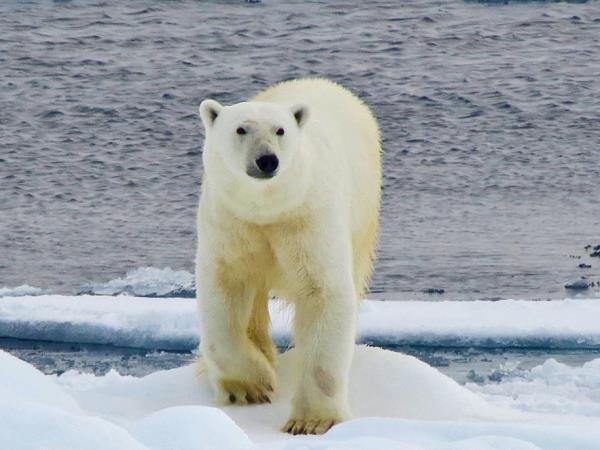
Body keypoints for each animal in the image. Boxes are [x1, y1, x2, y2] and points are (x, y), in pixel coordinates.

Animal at [197, 78, 380, 436]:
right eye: (241, 128)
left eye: (280, 130)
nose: (267, 160)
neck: (268, 210)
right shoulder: (231, 221)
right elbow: (224, 289)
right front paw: (251, 386)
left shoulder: (308, 217)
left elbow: (324, 292)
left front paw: (311, 421)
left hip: (363, 215)